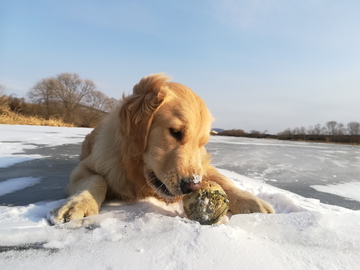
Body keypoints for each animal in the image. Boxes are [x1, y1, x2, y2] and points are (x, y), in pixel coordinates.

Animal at [47, 74, 272, 224]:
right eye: (175, 132)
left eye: (201, 143)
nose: (193, 186)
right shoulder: (85, 167)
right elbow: (97, 179)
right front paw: (80, 204)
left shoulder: (204, 165)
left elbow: (224, 179)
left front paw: (251, 202)